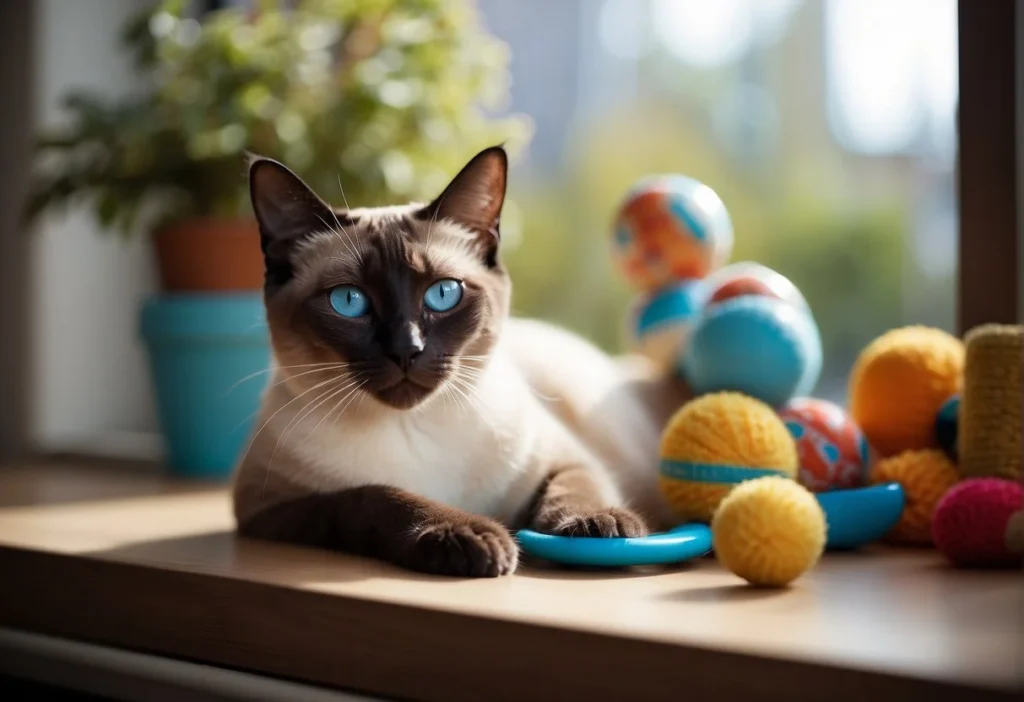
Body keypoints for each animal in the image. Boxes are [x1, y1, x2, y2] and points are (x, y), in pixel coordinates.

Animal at [234, 147, 688, 577]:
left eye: (443, 294)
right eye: (349, 301)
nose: (406, 349)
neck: (413, 428)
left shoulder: (567, 459)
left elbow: (575, 490)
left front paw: (596, 526)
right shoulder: (274, 507)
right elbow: (374, 497)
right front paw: (468, 536)